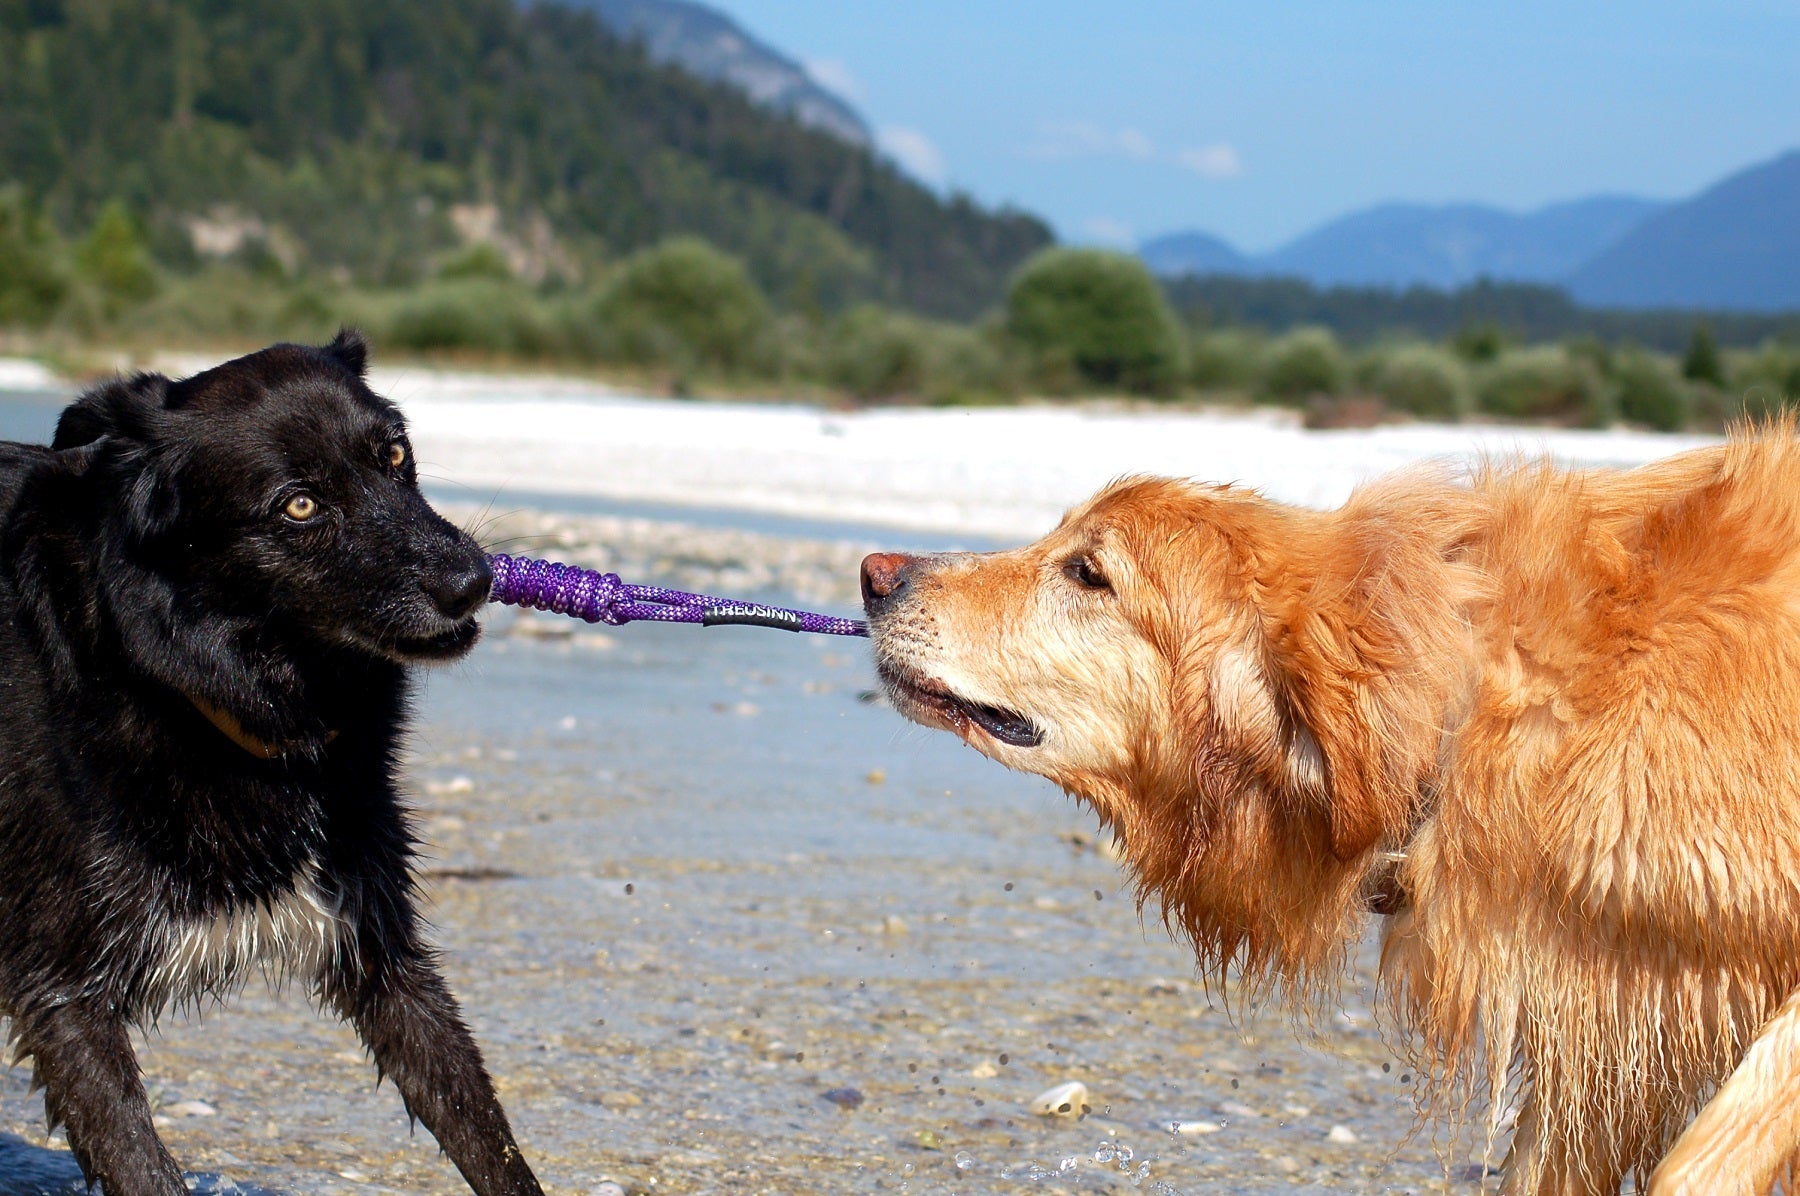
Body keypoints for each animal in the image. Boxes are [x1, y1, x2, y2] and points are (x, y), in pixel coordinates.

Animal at [0, 333, 540, 1196]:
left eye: (395, 453)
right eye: (299, 505)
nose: (474, 583)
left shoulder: (379, 949)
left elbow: (485, 1131)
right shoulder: (61, 994)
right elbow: (139, 1162)